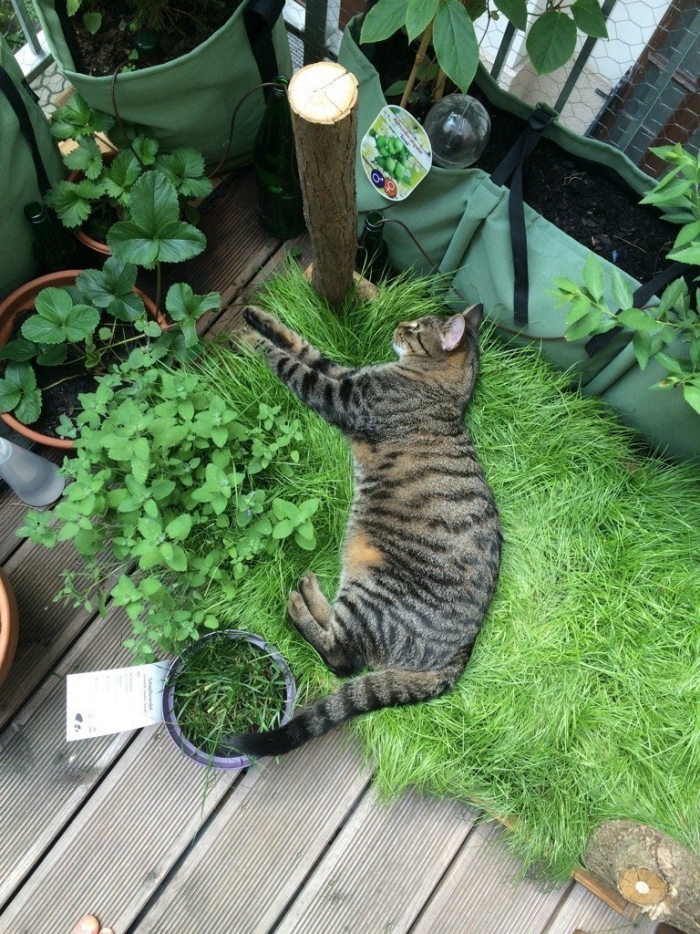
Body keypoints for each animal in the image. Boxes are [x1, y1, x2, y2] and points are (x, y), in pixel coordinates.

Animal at [232, 306, 500, 760]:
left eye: (416, 328)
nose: (399, 326)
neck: (442, 390)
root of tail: (464, 651)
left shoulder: (342, 395)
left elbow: (289, 363)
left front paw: (251, 341)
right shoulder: (347, 375)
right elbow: (302, 346)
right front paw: (257, 318)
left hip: (373, 593)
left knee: (342, 657)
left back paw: (298, 606)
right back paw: (309, 591)